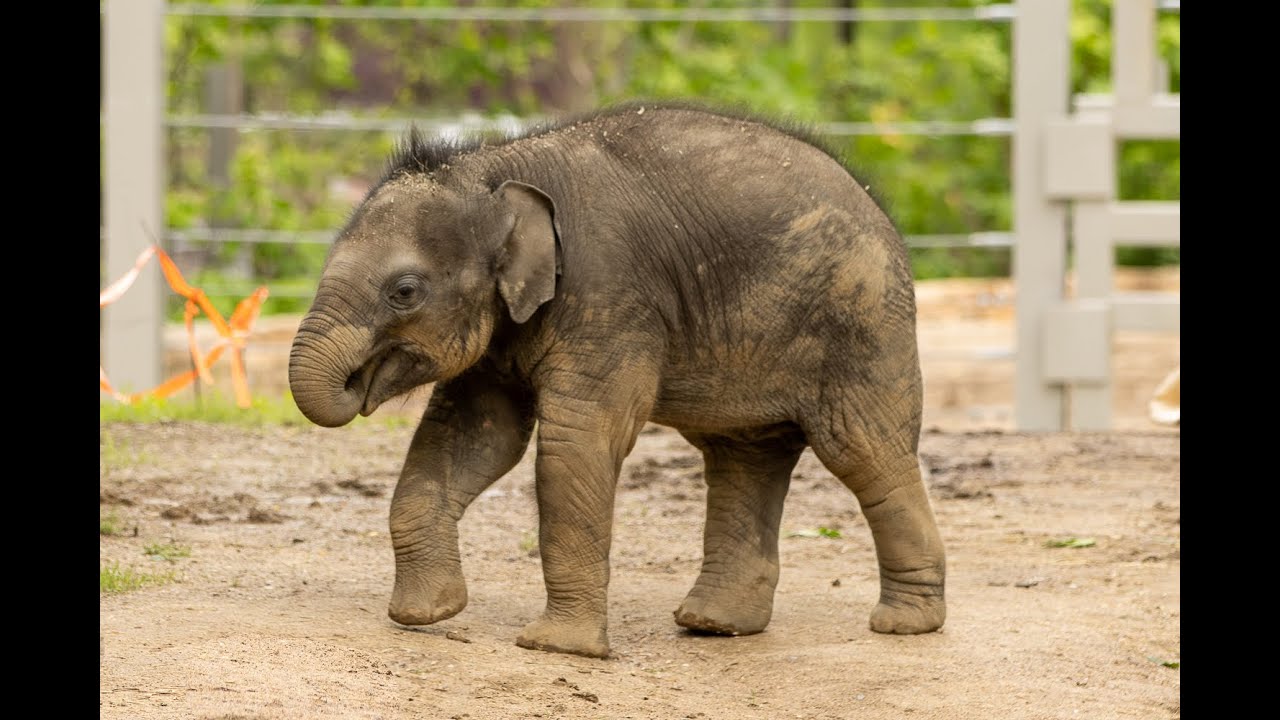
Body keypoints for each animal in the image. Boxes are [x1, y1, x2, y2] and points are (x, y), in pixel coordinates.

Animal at [288, 101, 946, 659]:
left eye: (404, 291)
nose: (356, 384)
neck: (496, 168)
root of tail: (883, 214)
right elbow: (476, 437)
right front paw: (427, 616)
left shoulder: (609, 294)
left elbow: (576, 442)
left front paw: (558, 649)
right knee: (744, 457)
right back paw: (714, 625)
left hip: (862, 327)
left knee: (864, 452)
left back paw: (904, 624)